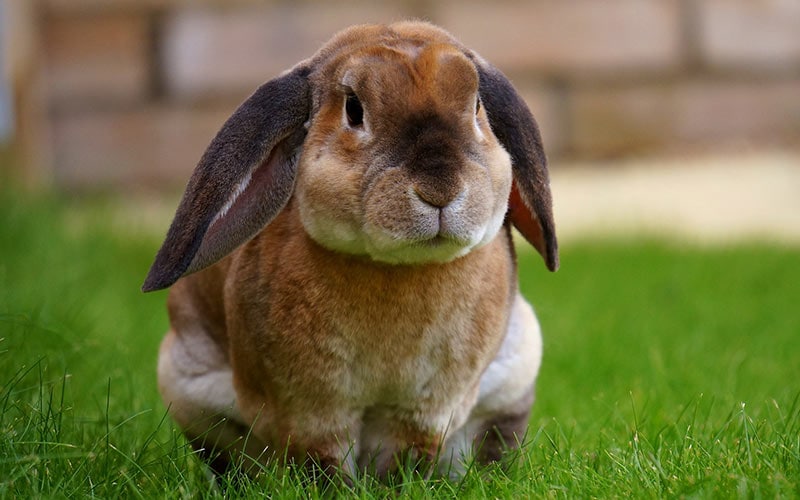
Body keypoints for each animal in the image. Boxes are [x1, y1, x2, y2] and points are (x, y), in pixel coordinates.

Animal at [142, 20, 558, 482]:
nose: (440, 189)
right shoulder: (311, 410)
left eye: (477, 106)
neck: (397, 268)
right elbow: (322, 461)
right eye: (354, 110)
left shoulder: (424, 411)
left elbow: (405, 458)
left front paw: (397, 486)